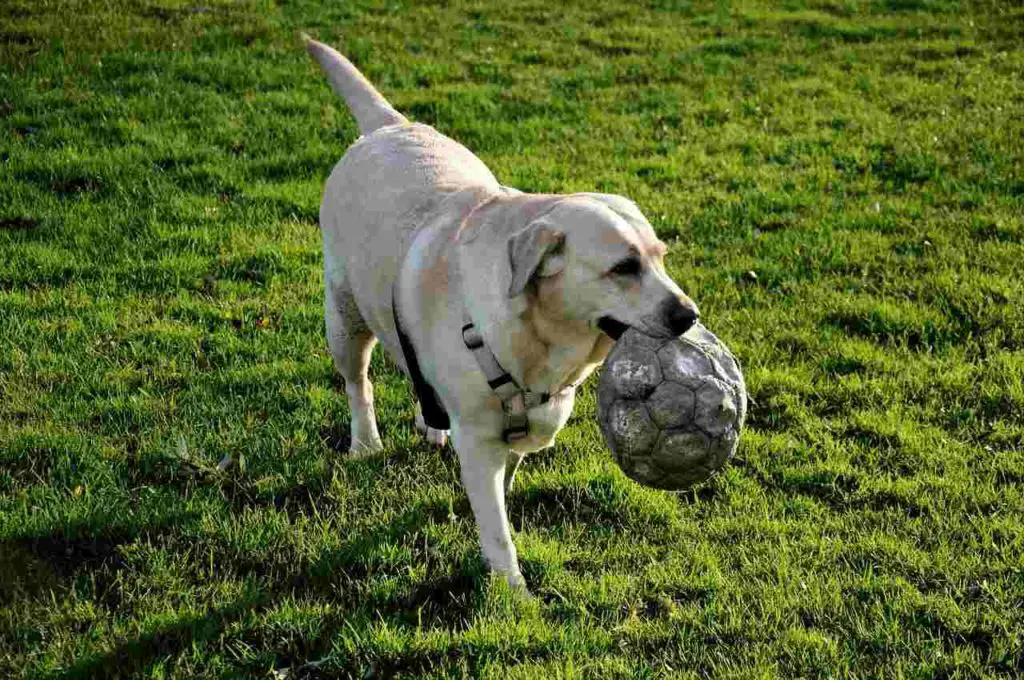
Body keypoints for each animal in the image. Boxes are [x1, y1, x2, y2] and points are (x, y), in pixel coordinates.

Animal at [307, 38, 700, 589]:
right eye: (624, 267)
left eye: (661, 257)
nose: (689, 314)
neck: (539, 340)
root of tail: (388, 126)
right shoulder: (478, 439)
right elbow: (495, 526)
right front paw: (513, 590)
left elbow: (504, 481)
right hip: (344, 318)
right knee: (357, 382)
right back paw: (366, 442)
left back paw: (431, 425)